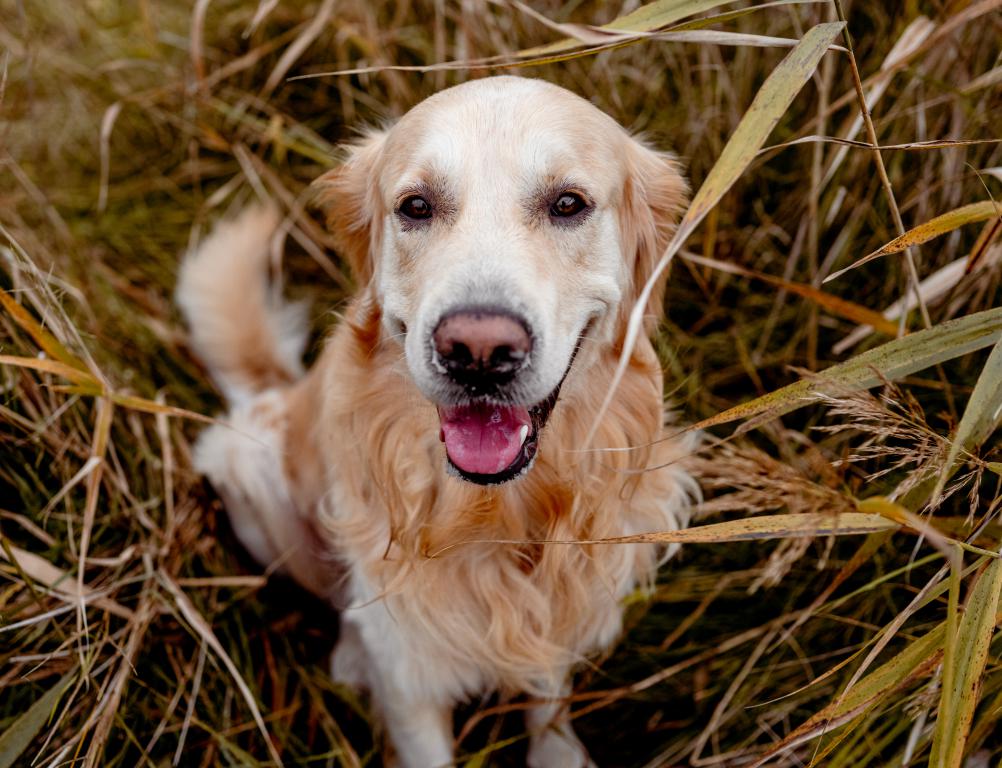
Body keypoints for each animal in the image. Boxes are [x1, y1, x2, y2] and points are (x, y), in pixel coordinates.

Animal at [178, 73, 697, 768]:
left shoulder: (568, 595)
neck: (493, 511)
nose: (478, 351)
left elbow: (547, 688)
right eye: (417, 207)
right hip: (256, 467)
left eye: (568, 203)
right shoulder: (411, 679)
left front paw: (556, 748)